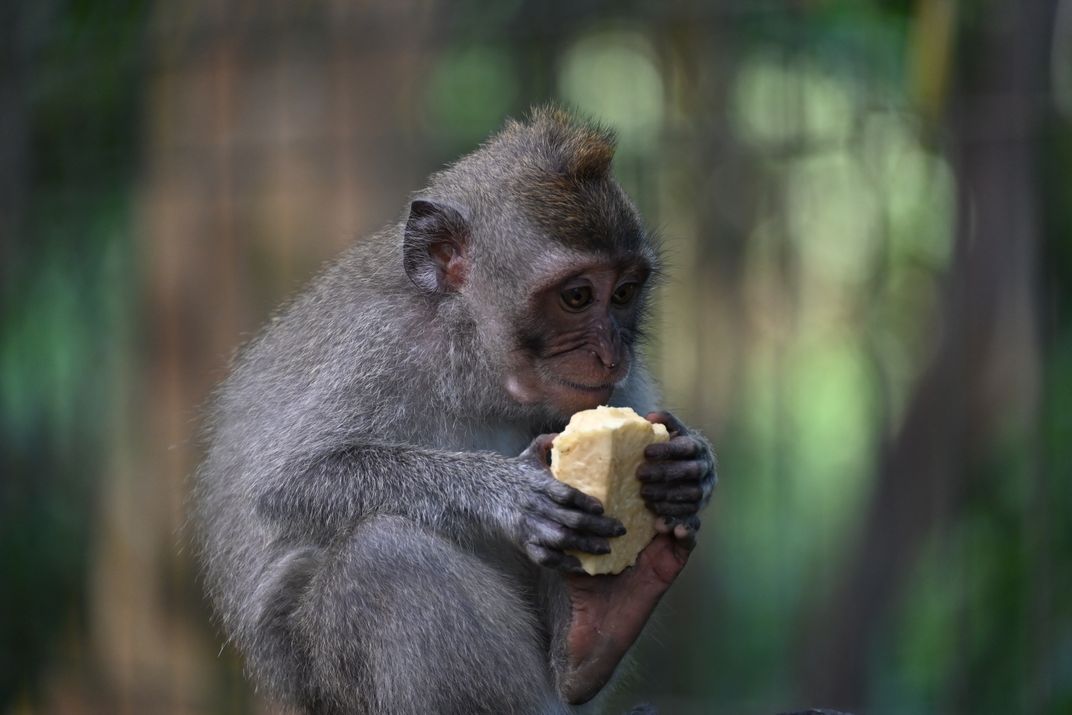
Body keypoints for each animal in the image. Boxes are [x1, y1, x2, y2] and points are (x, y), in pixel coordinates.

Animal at [193, 106, 716, 714]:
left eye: (626, 292)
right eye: (578, 296)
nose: (612, 354)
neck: (475, 360)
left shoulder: (620, 390)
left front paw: (690, 469)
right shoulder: (378, 344)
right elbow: (287, 481)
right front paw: (506, 492)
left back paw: (597, 629)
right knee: (382, 554)